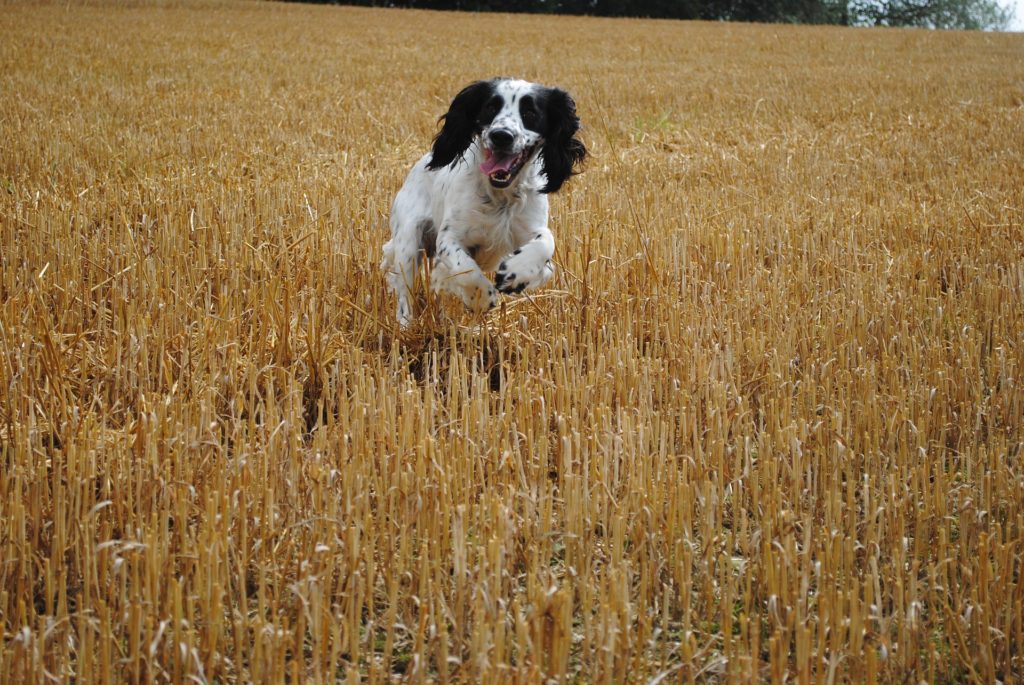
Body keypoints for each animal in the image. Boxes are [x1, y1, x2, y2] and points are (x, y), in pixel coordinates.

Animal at [382, 77, 589, 325]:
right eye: (490, 107)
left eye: (530, 112)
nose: (501, 136)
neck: (501, 197)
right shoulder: (450, 237)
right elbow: (466, 269)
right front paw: (481, 298)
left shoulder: (530, 229)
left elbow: (546, 246)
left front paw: (516, 272)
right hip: (408, 244)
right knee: (404, 292)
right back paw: (405, 326)